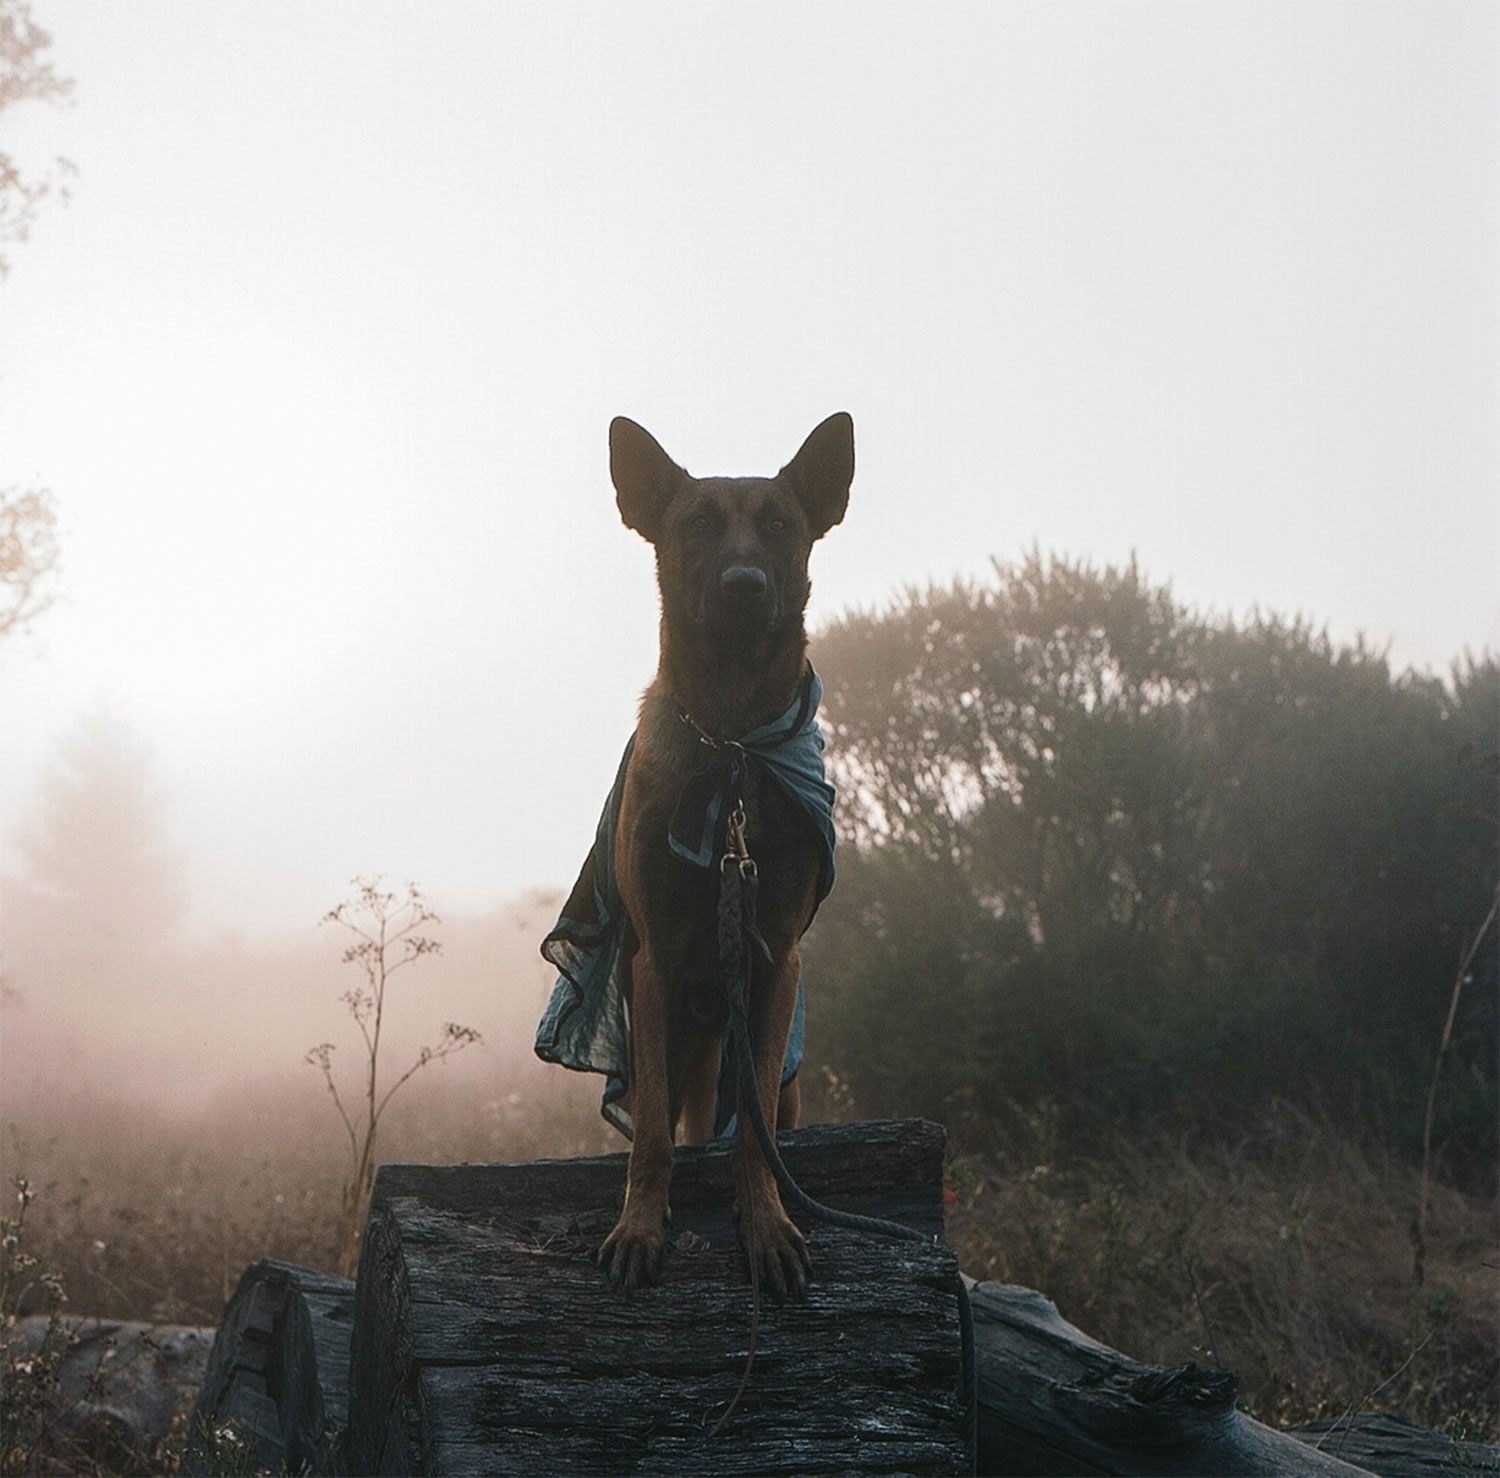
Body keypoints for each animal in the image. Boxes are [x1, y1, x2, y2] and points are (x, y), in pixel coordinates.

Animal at [537, 408, 858, 1296]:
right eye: (697, 527)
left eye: (780, 526)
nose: (744, 586)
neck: (734, 741)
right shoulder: (654, 964)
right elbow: (650, 1130)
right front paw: (640, 1227)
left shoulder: (776, 959)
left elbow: (753, 1135)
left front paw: (767, 1226)